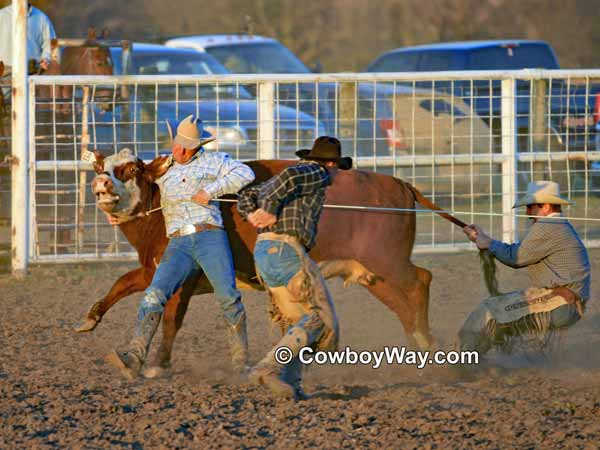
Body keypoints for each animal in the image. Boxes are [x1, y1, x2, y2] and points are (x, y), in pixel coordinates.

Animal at [84, 149, 454, 376]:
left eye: (132, 169)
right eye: (102, 167)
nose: (101, 183)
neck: (162, 205)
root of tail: (400, 184)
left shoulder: (184, 278)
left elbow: (171, 319)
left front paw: (158, 365)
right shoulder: (154, 268)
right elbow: (123, 284)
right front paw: (90, 319)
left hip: (387, 261)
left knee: (420, 281)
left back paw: (428, 345)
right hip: (373, 273)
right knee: (402, 304)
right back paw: (417, 349)